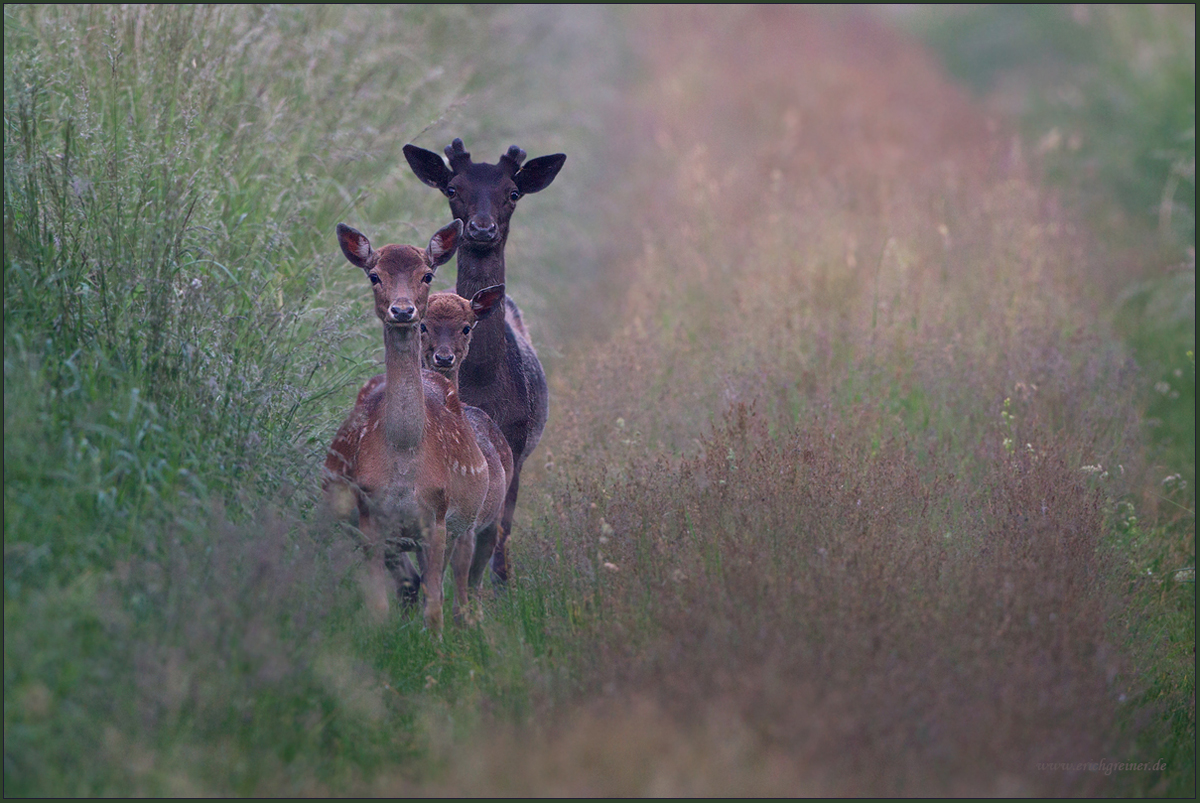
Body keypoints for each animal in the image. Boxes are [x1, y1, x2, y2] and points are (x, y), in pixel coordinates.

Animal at [326, 217, 489, 633]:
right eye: (374, 276)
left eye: (427, 274)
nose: (402, 310)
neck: (403, 455)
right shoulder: (370, 516)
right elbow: (378, 602)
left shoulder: (436, 519)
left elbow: (434, 603)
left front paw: (435, 643)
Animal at [420, 284, 513, 592]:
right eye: (423, 325)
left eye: (466, 327)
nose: (444, 357)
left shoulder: (469, 521)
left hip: (493, 514)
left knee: (475, 574)